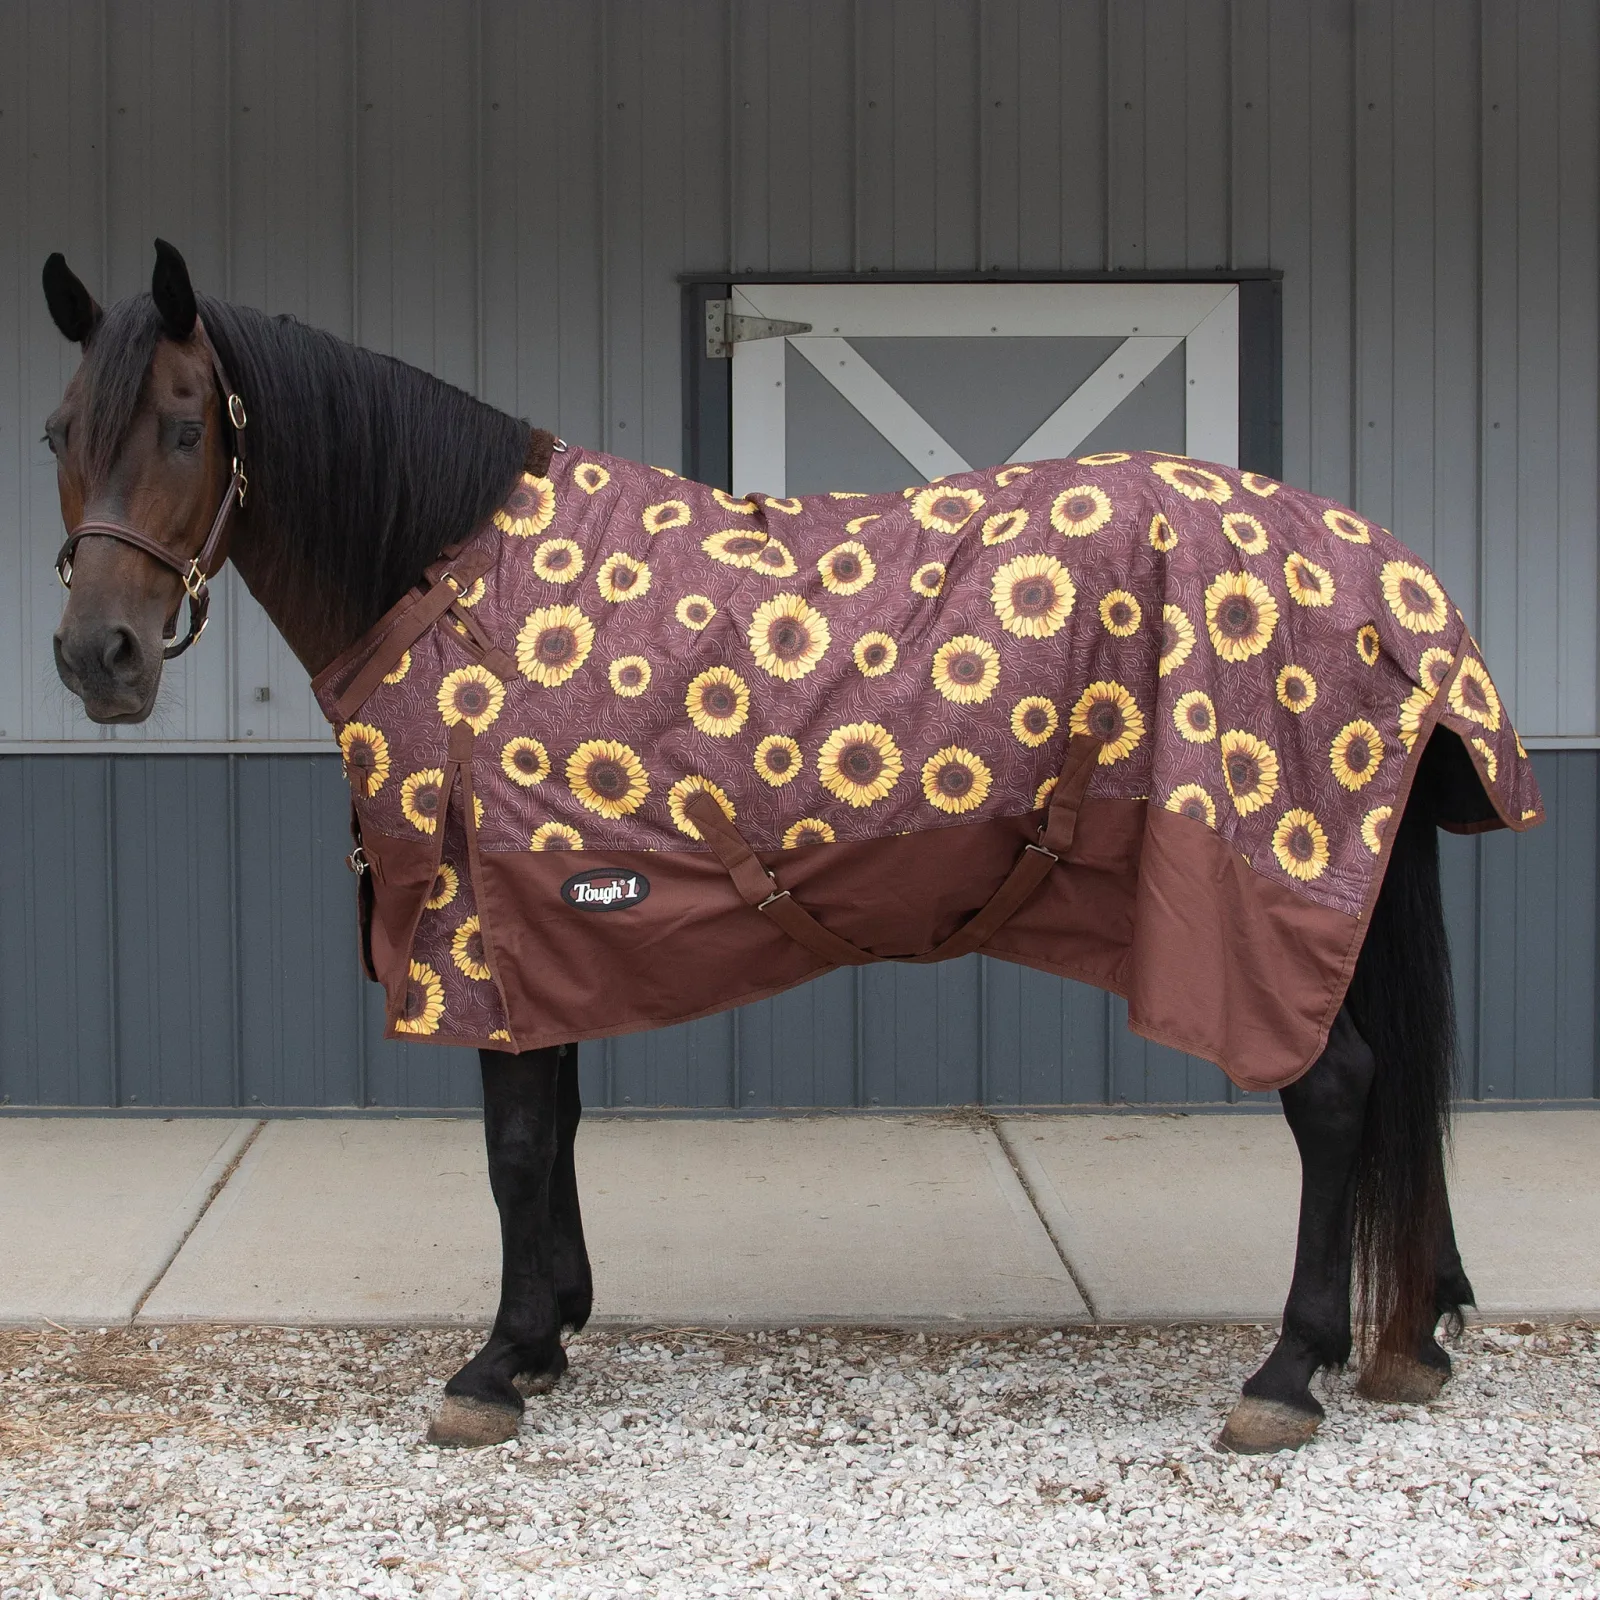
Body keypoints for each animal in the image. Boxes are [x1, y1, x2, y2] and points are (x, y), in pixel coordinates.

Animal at [39, 240, 1538, 1455]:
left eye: (185, 425)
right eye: (58, 429)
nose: (96, 658)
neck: (455, 579)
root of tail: (1385, 578)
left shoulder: (490, 922)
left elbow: (515, 1142)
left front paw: (495, 1364)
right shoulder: (546, 921)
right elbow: (553, 1127)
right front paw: (552, 1328)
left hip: (1256, 922)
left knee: (1337, 1094)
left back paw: (1289, 1371)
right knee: (1391, 1094)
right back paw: (1419, 1331)